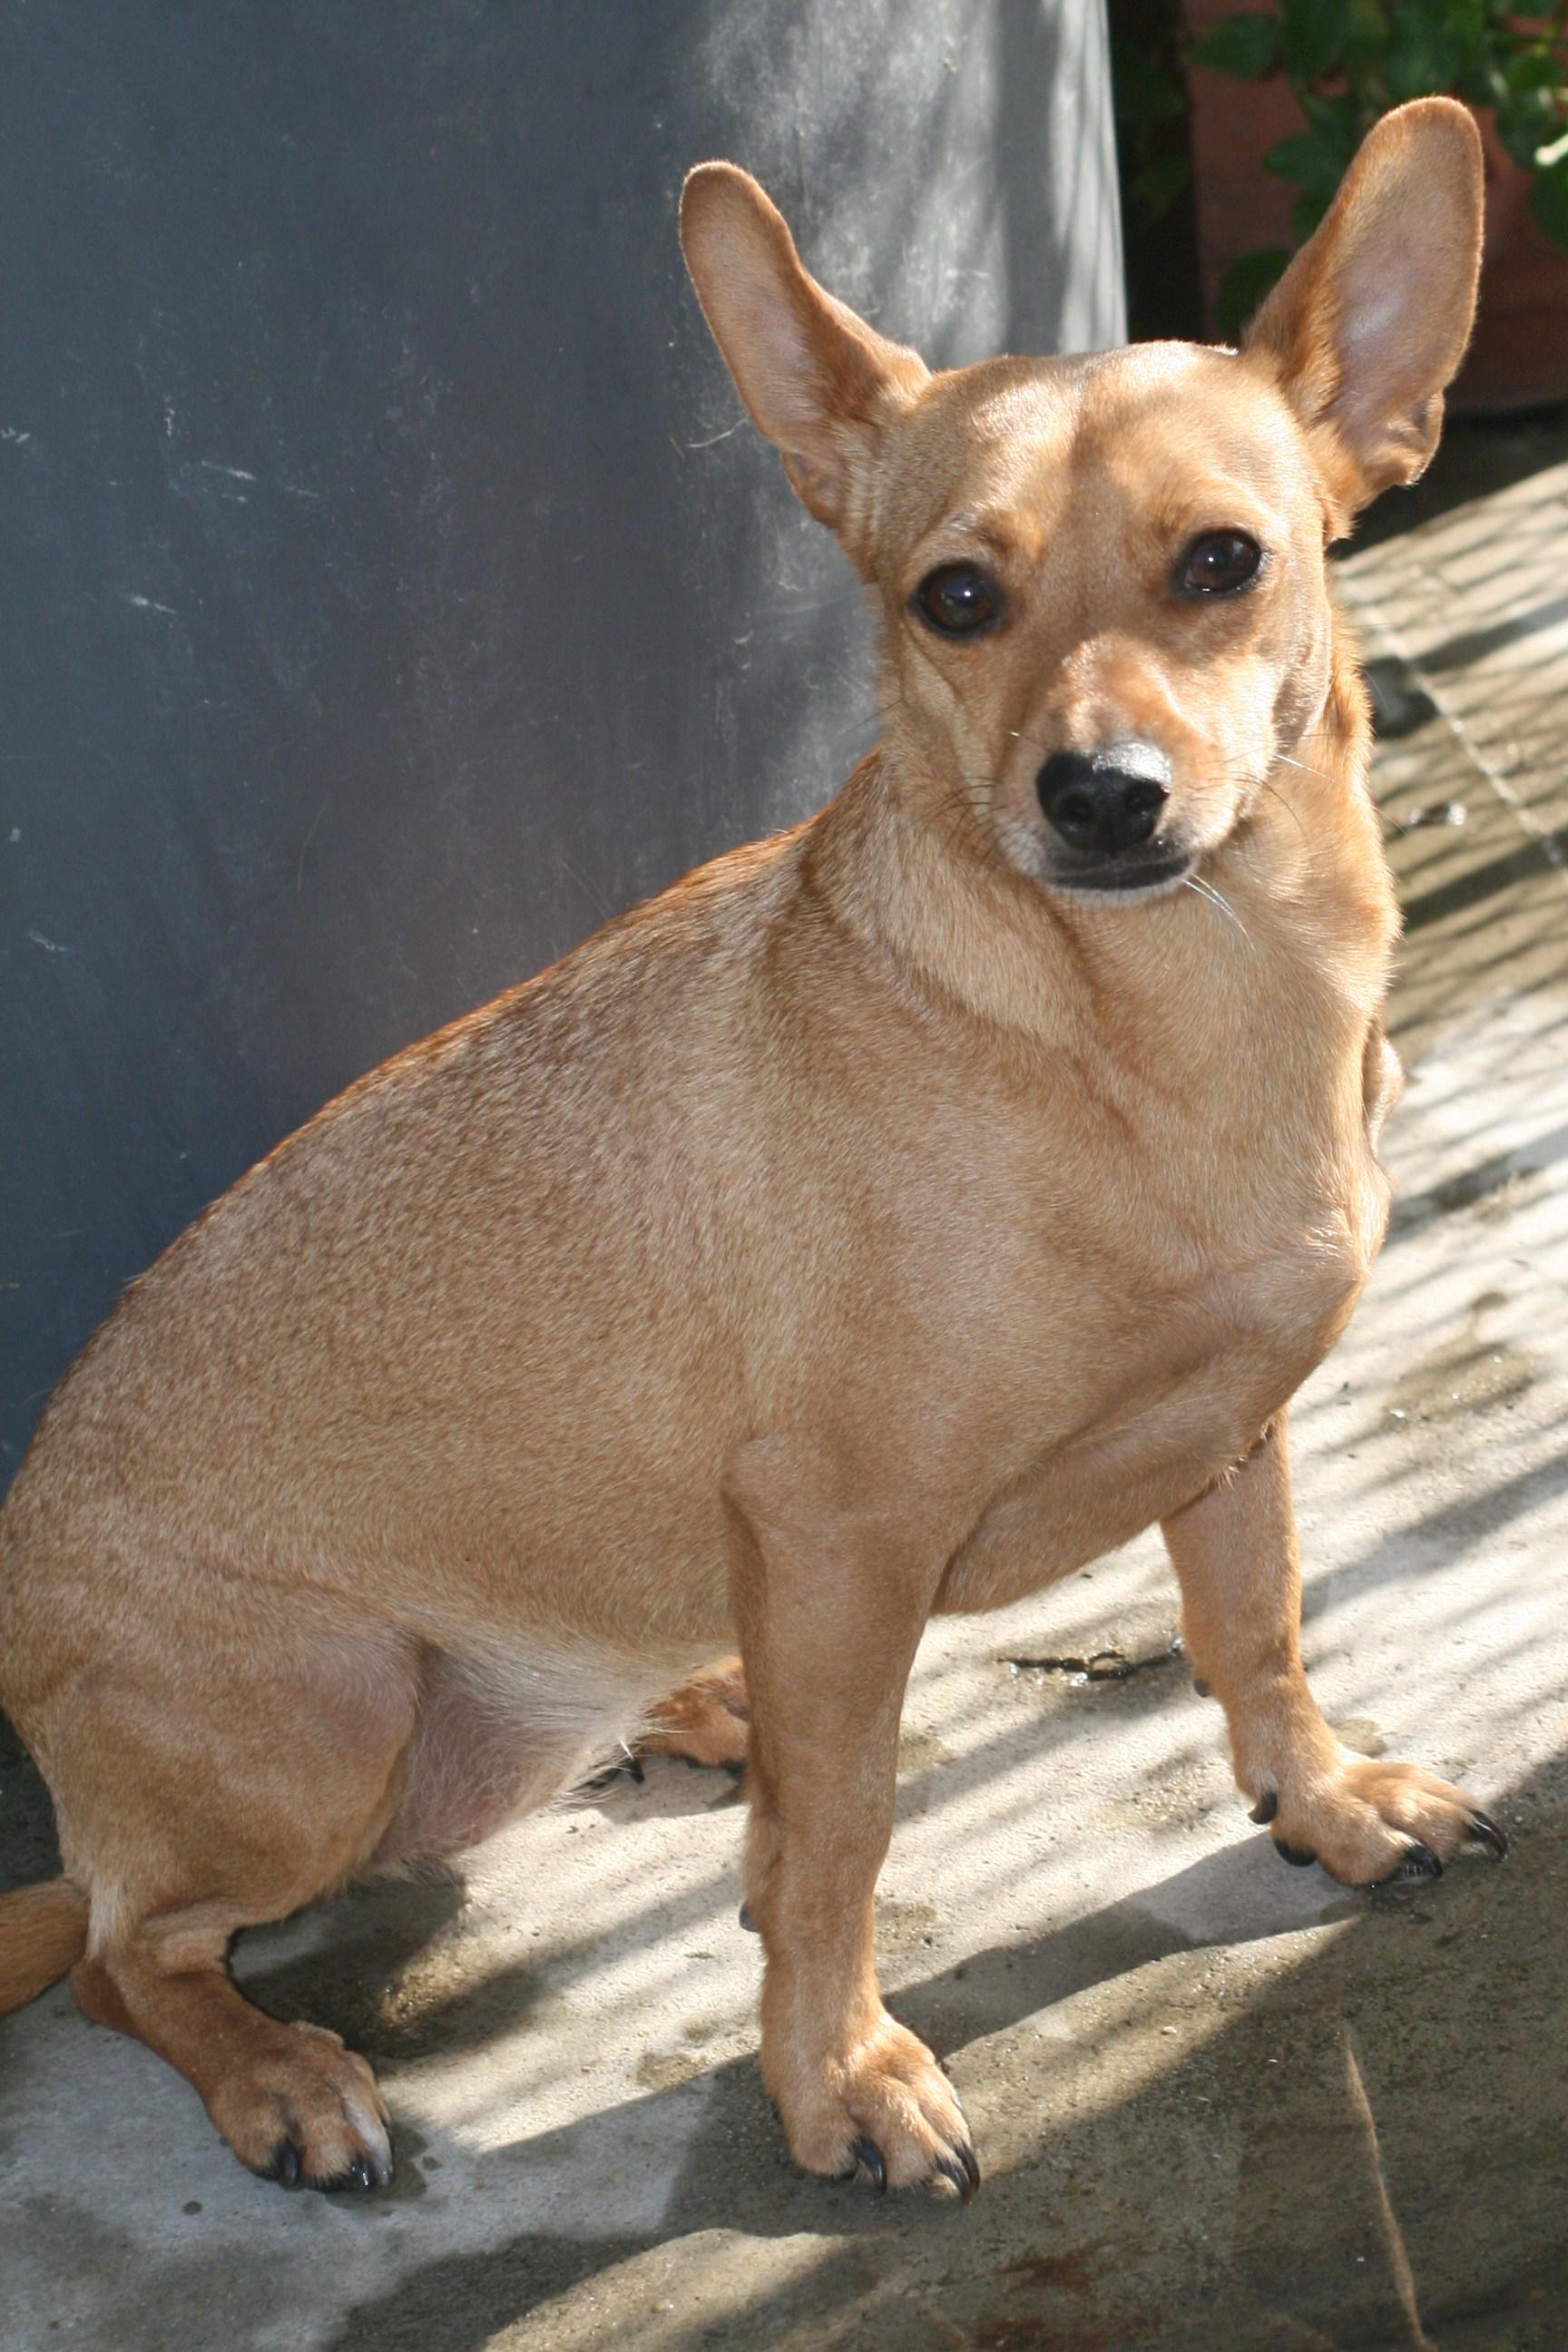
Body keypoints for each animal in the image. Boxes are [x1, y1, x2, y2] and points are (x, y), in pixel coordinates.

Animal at [0, 101, 1504, 2201]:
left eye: (1224, 562)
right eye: (953, 598)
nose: (1098, 797)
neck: (1155, 1013)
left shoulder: (1234, 1445)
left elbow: (1256, 1633)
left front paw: (1326, 1799)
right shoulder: (840, 1536)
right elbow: (838, 1840)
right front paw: (836, 2077)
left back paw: (691, 1703)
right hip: (326, 1717)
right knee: (123, 1961)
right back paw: (277, 2066)